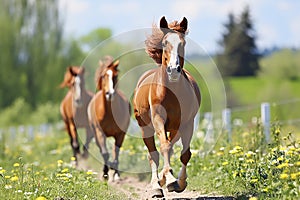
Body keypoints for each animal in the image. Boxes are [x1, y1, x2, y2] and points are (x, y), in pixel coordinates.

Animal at [132, 16, 200, 197]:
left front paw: (178, 182)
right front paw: (168, 179)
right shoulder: (158, 120)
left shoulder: (186, 124)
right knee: (153, 155)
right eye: (164, 43)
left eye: (183, 43)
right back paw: (156, 185)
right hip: (145, 127)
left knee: (170, 147)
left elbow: (184, 153)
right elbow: (163, 147)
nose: (173, 70)